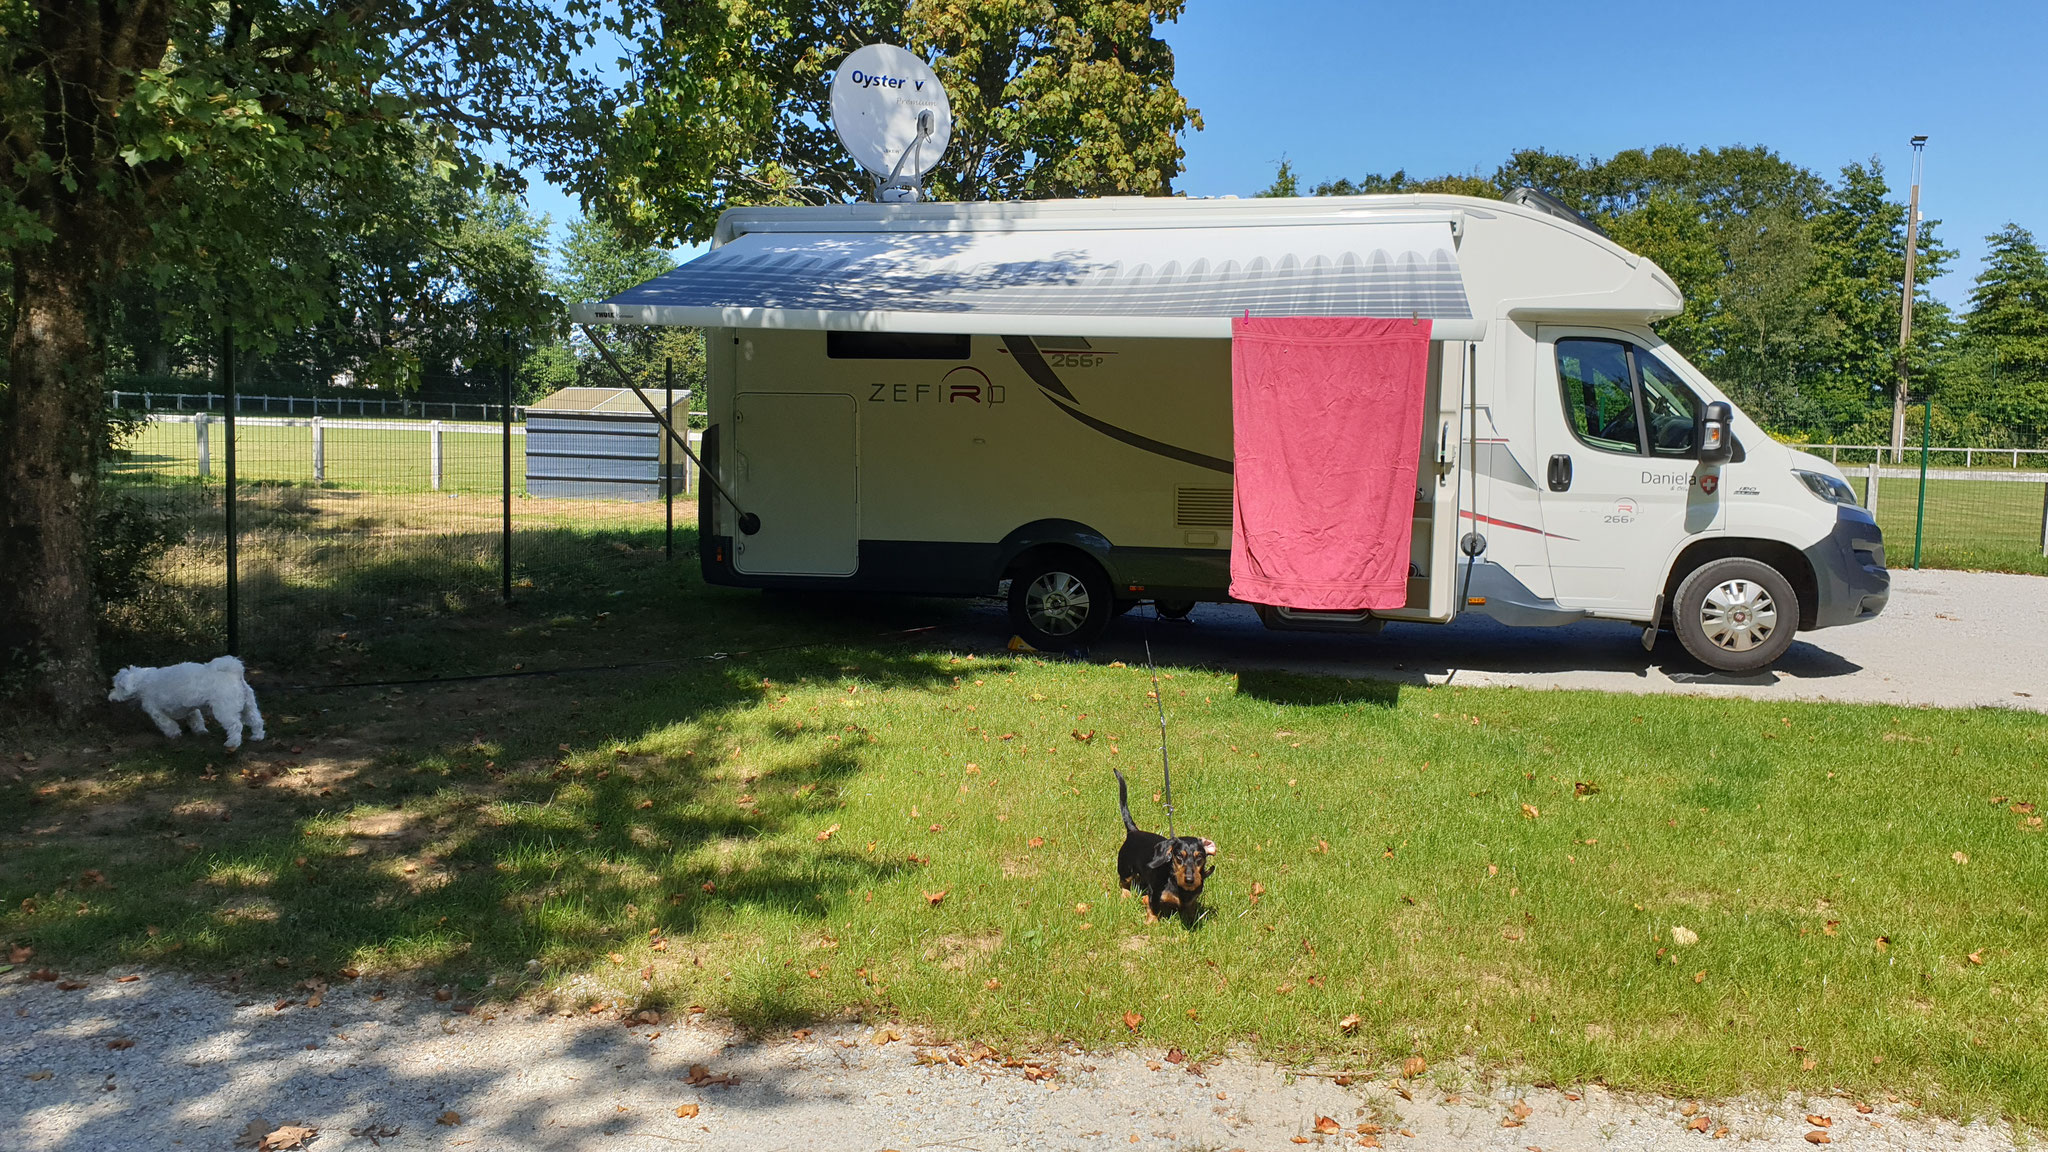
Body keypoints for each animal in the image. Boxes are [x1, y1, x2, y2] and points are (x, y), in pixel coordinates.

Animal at [108, 651, 266, 750]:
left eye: (116, 687)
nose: (110, 696)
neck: (143, 680)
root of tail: (234, 671)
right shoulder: (191, 709)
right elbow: (196, 719)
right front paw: (200, 731)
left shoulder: (156, 712)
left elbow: (167, 724)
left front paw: (174, 734)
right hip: (248, 706)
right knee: (257, 721)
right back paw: (257, 736)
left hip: (225, 710)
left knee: (236, 725)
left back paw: (232, 742)